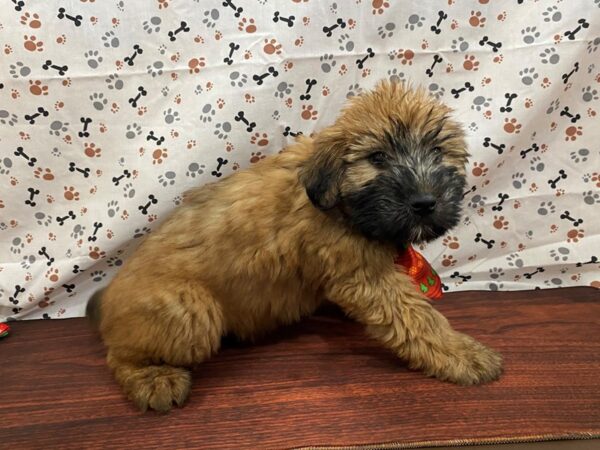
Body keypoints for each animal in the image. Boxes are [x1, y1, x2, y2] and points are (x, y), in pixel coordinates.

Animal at [89, 80, 502, 412]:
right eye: (377, 157)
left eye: (437, 151)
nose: (424, 203)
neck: (341, 203)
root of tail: (107, 300)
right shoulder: (367, 279)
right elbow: (419, 320)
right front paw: (462, 354)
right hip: (189, 307)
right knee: (119, 356)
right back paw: (153, 379)